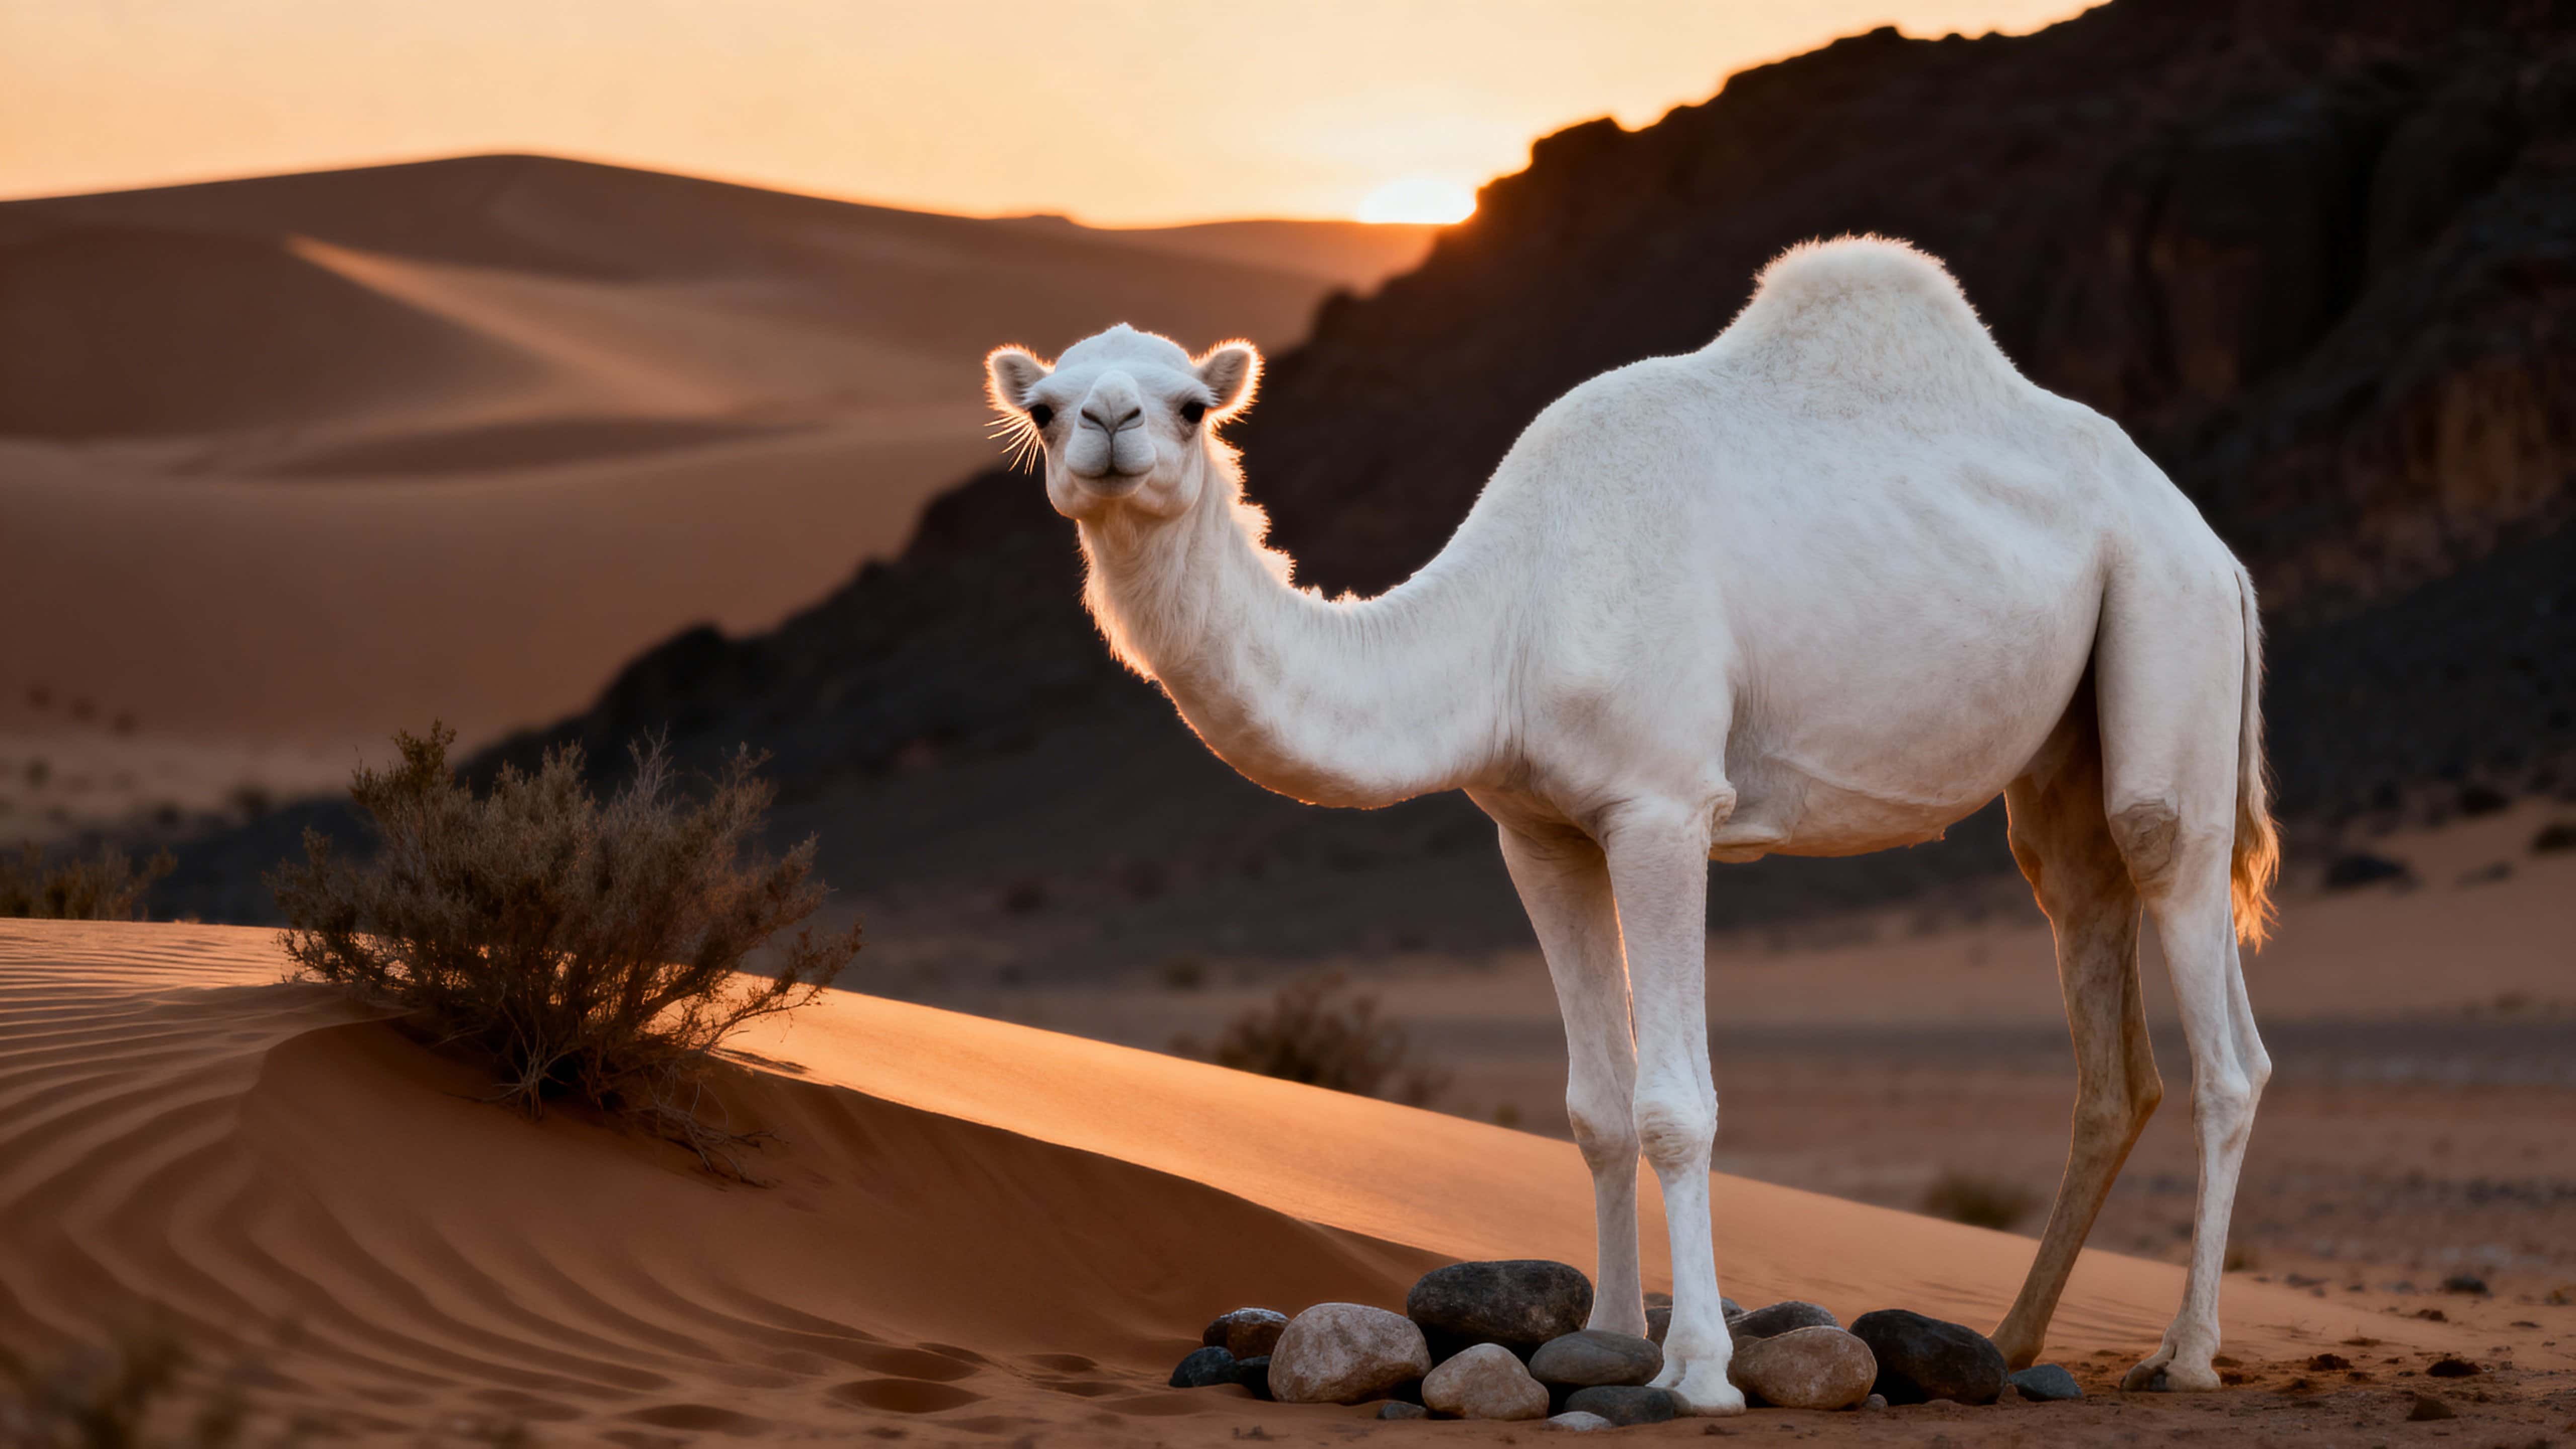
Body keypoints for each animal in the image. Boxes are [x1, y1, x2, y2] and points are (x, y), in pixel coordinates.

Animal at [984, 236, 2278, 1414]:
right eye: (1043, 406)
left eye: (1192, 405)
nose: (1107, 424)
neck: (1504, 619)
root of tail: (2214, 545)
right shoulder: (1536, 830)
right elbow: (1595, 1109)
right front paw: (1607, 1334)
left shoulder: (1663, 807)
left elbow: (1672, 1108)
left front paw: (1698, 1369)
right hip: (2062, 759)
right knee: (2099, 1002)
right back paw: (2010, 1341)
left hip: (2170, 627)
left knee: (2207, 986)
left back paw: (2186, 1353)